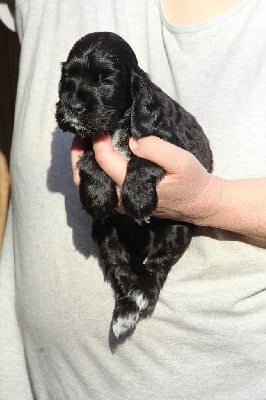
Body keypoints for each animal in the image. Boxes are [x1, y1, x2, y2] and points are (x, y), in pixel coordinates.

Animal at [55, 31, 212, 340]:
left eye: (105, 80)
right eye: (68, 78)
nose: (72, 107)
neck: (117, 126)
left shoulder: (176, 147)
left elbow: (142, 160)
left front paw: (137, 197)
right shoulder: (89, 143)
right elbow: (90, 158)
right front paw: (97, 196)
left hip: (175, 229)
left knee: (157, 265)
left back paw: (141, 294)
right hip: (105, 233)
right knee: (120, 269)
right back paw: (126, 309)